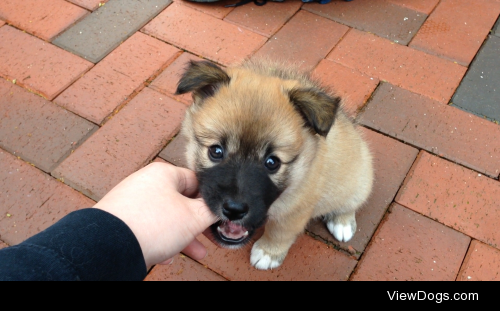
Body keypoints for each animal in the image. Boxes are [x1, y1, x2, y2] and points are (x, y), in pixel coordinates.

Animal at [174, 59, 374, 270]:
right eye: (216, 151)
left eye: (272, 162)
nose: (234, 210)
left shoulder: (294, 212)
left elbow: (279, 233)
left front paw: (268, 253)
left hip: (358, 181)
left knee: (350, 203)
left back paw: (342, 223)